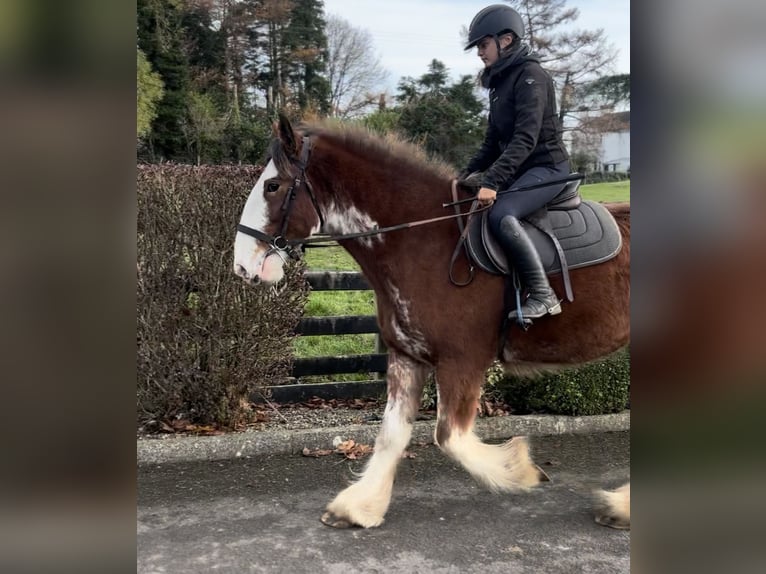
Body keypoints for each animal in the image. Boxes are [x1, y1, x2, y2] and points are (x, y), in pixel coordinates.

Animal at [234, 115, 632, 532]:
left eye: (272, 185)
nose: (242, 266)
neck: (424, 239)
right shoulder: (406, 356)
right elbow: (392, 435)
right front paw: (359, 507)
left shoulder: (462, 360)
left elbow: (450, 437)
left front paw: (520, 469)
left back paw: (621, 505)